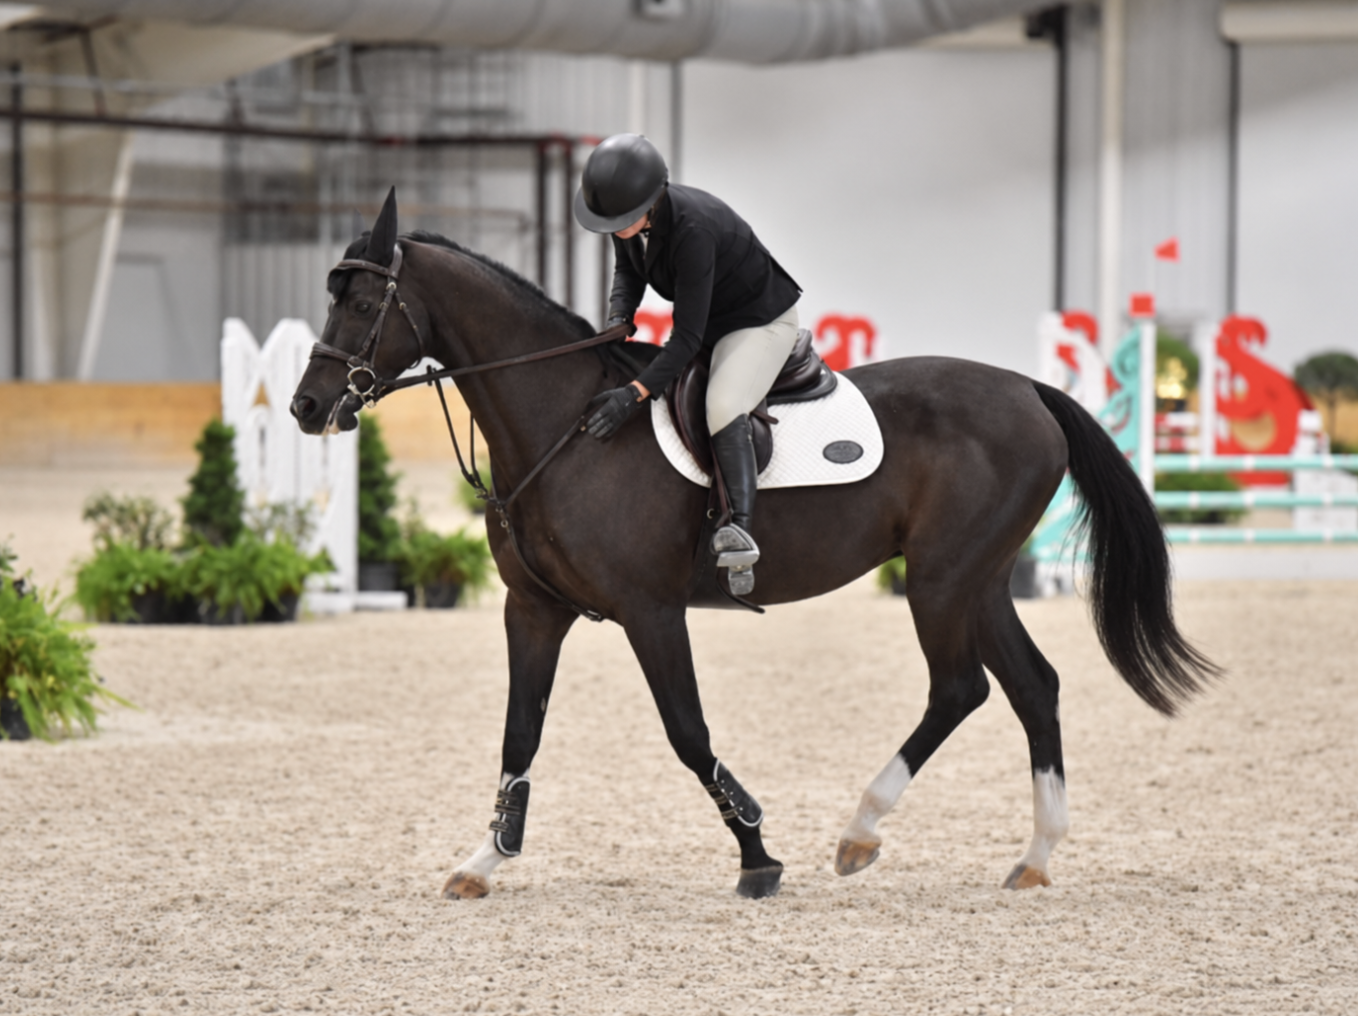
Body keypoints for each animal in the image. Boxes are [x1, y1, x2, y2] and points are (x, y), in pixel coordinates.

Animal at [290, 191, 1217, 900]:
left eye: (364, 305)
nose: (305, 408)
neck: (564, 428)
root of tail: (1028, 388)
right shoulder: (535, 610)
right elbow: (520, 734)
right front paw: (484, 860)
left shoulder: (651, 611)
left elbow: (688, 733)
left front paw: (758, 856)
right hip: (979, 579)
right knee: (1032, 685)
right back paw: (1033, 856)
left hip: (942, 579)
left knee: (960, 688)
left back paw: (859, 832)